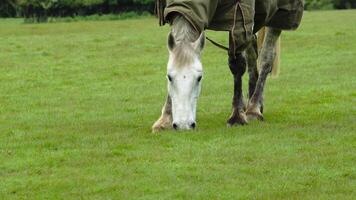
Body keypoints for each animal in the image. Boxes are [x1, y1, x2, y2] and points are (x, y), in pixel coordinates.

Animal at [152, 0, 304, 132]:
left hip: (279, 14)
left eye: (199, 78)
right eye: (169, 77)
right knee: (252, 53)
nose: (184, 125)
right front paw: (164, 120)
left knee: (266, 58)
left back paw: (253, 109)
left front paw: (237, 116)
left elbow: (237, 66)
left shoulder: (239, 14)